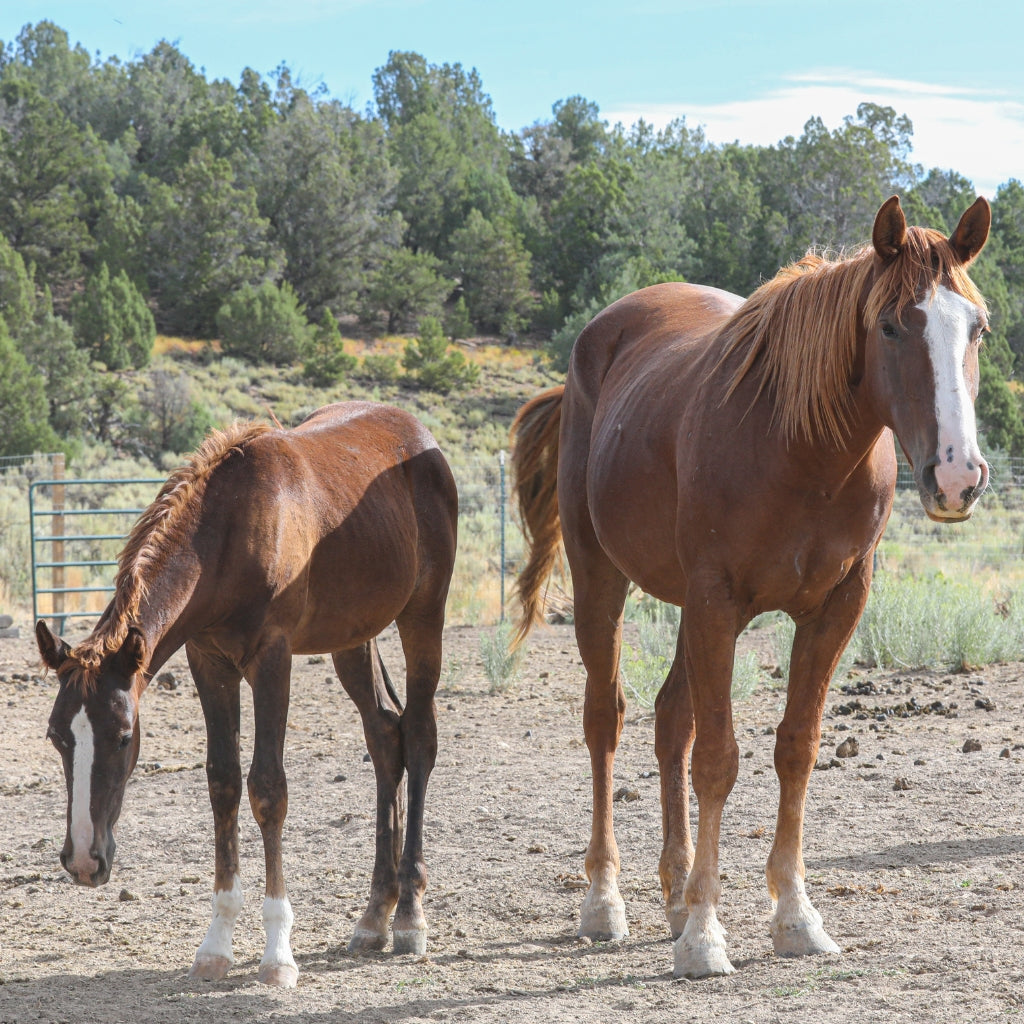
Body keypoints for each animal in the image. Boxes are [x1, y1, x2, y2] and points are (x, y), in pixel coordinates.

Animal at [37, 399, 458, 983]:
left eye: (123, 737)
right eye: (57, 737)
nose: (83, 860)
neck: (227, 535)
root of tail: (420, 438)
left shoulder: (272, 659)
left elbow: (268, 788)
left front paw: (278, 954)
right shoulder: (209, 662)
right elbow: (224, 784)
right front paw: (216, 945)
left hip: (423, 615)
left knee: (417, 736)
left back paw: (410, 914)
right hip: (354, 637)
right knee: (384, 737)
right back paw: (374, 915)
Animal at [512, 197, 991, 974]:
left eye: (977, 328)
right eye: (892, 325)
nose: (956, 476)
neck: (804, 450)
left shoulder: (834, 609)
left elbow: (794, 748)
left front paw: (793, 916)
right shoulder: (717, 599)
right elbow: (717, 759)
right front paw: (707, 936)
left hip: (687, 608)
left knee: (670, 718)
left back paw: (675, 895)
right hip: (600, 581)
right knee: (606, 720)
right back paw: (605, 902)